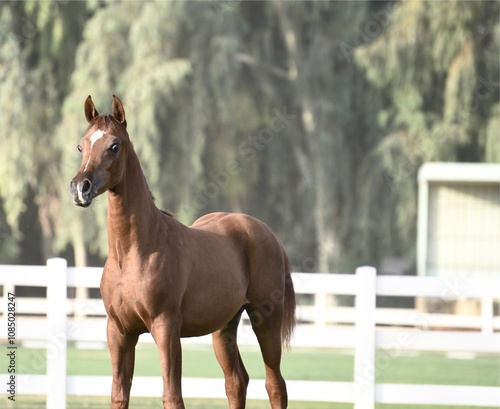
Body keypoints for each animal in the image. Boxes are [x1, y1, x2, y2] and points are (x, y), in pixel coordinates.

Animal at [71, 94, 296, 406]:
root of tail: (267, 233)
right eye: (81, 145)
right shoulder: (119, 332)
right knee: (236, 382)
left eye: (114, 145)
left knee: (275, 385)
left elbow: (172, 396)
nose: (81, 188)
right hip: (223, 328)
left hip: (266, 323)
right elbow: (119, 395)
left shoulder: (166, 329)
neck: (134, 253)